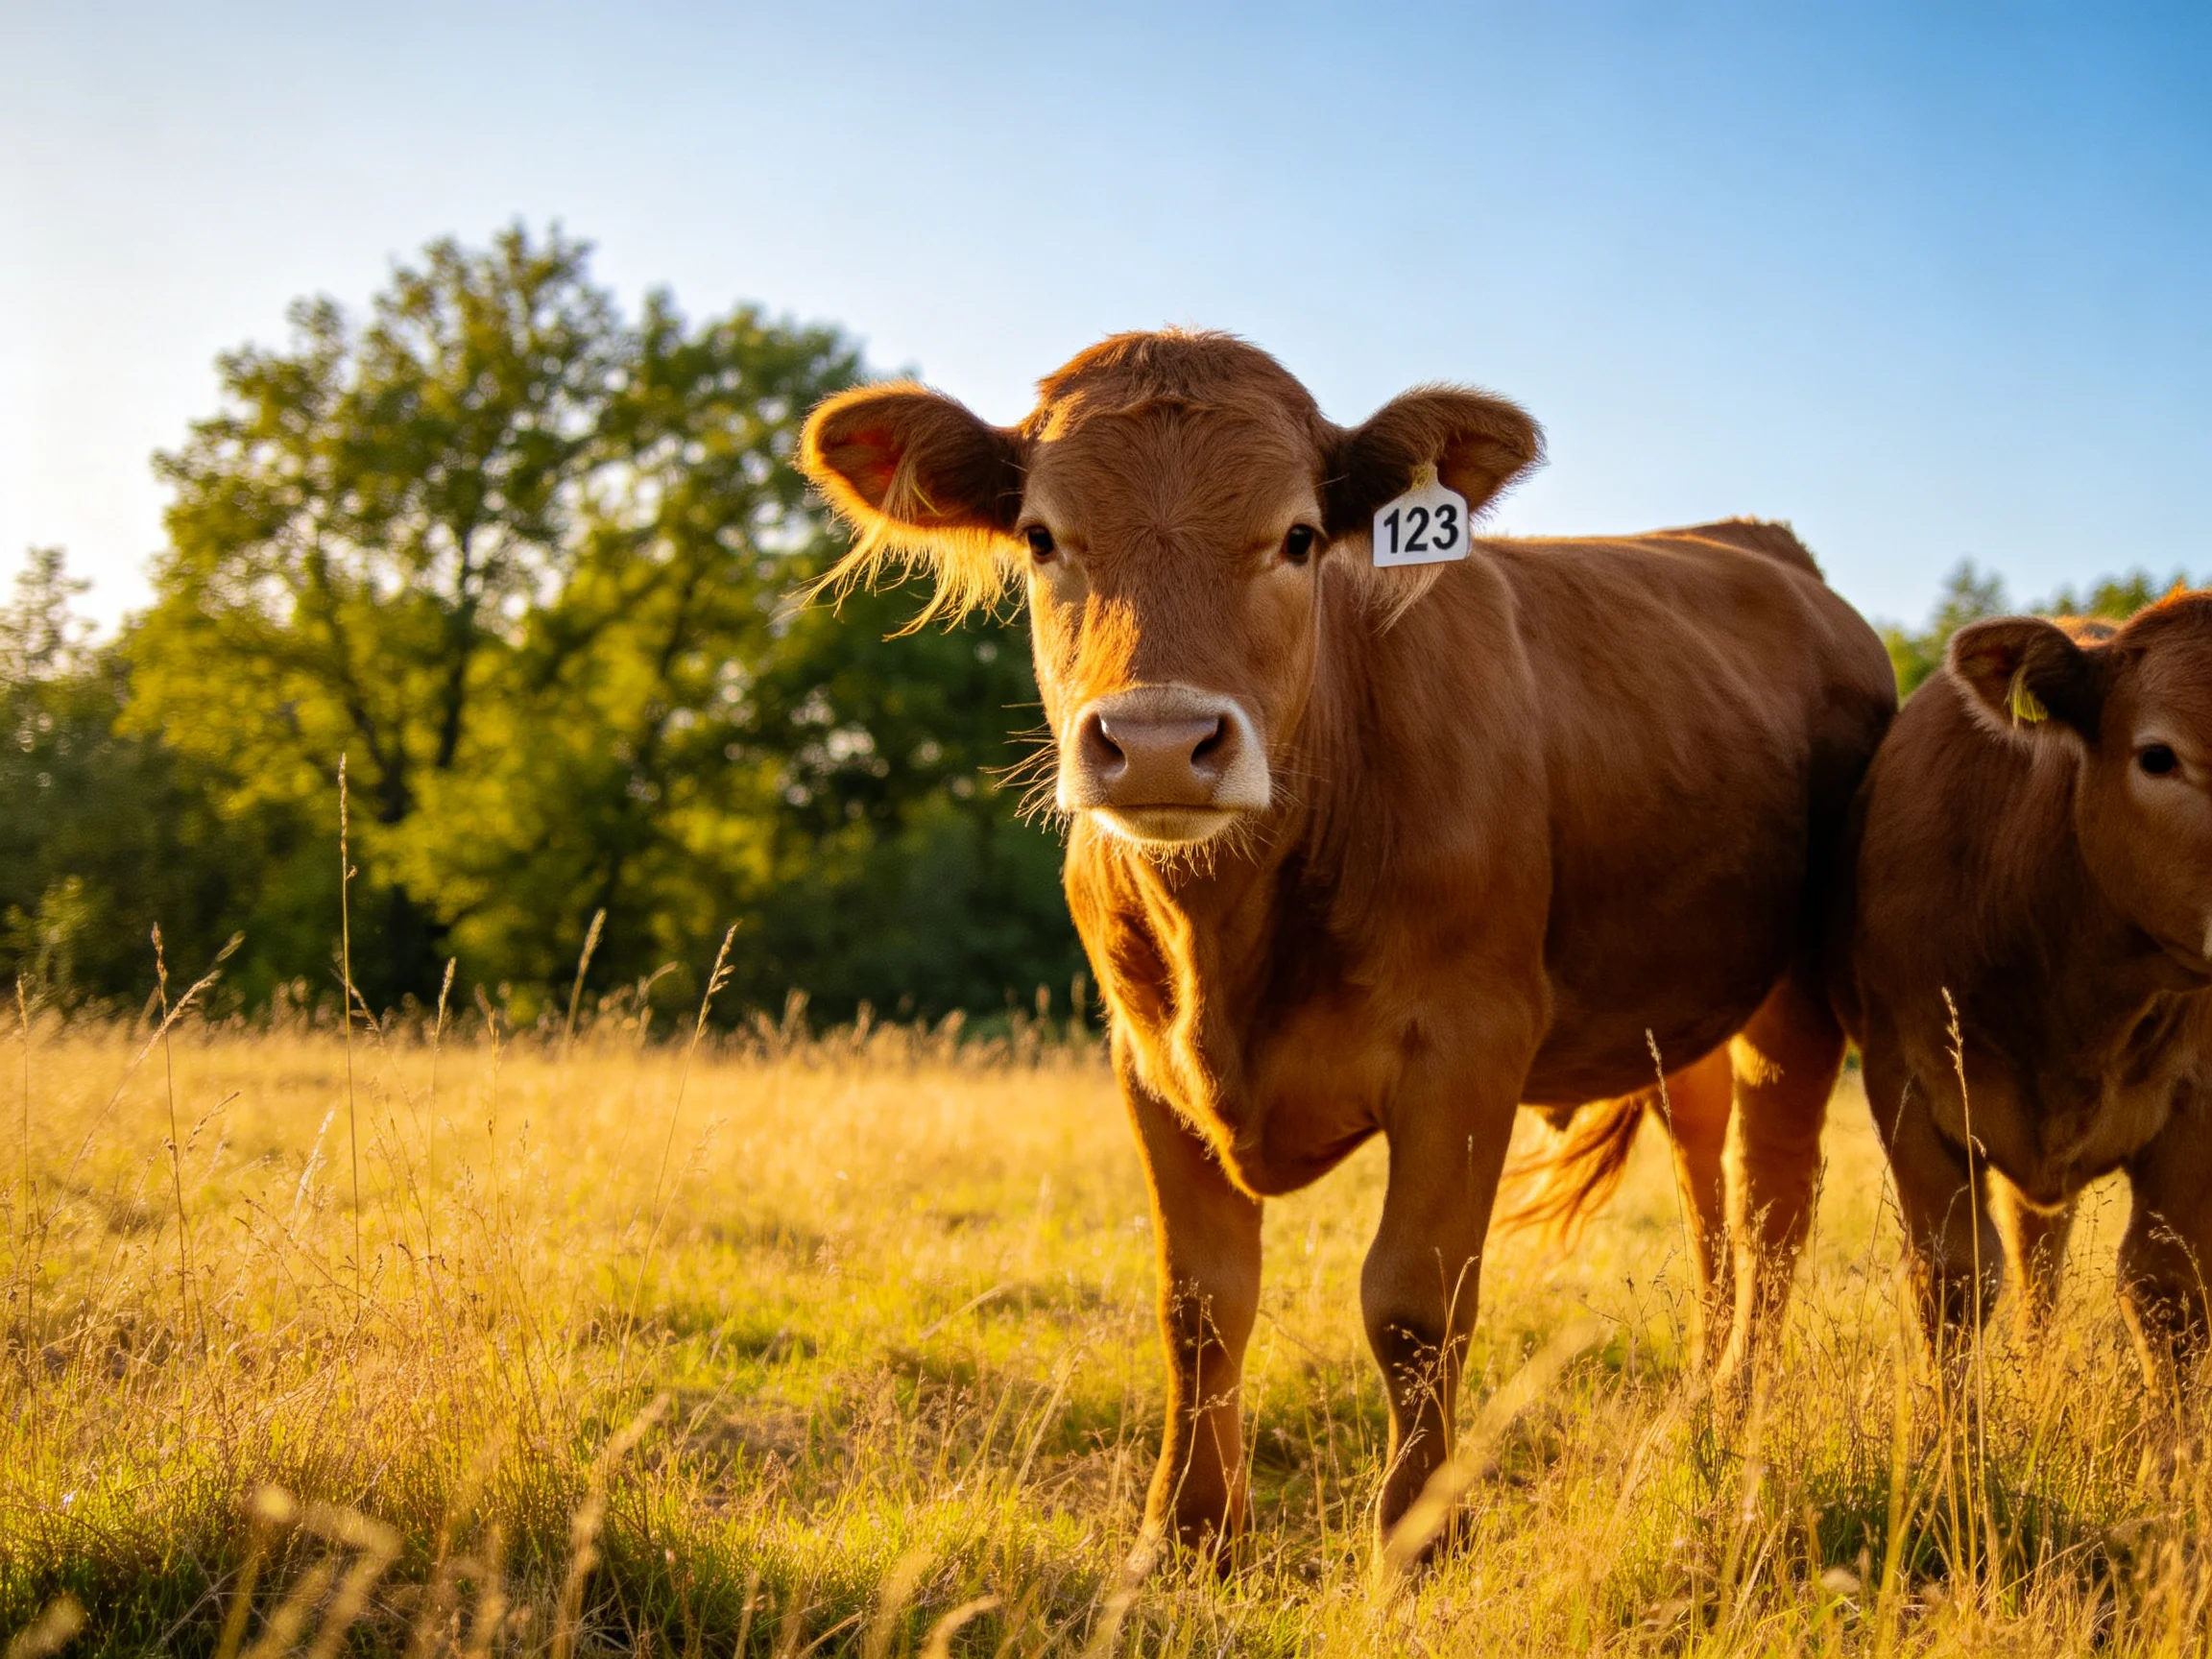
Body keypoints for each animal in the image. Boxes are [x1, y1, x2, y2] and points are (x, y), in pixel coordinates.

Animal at [797, 331, 1896, 1558]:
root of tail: (1766, 547)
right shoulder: (1144, 1057)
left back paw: (1737, 1426)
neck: (1229, 938)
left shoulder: (1469, 1045)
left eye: (1297, 536)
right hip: (1680, 1014)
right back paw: (1700, 1405)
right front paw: (1188, 1536)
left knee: (1772, 1200)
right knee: (1709, 1185)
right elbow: (1200, 1301)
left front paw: (1418, 1541)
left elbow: (1415, 1302)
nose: (1163, 742)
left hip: (1798, 994)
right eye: (1041, 536)